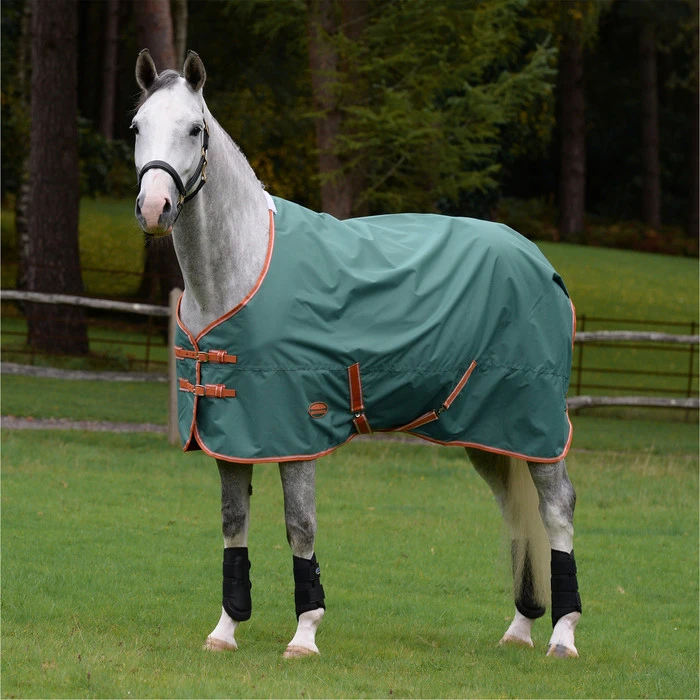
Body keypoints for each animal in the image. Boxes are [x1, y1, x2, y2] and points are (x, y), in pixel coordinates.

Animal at [132, 49, 582, 659]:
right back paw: (519, 630)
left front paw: (304, 635)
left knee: (556, 510)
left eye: (194, 128)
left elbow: (300, 526)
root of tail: (541, 261)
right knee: (517, 510)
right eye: (137, 126)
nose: (155, 207)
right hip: (491, 434)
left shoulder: (295, 430)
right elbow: (233, 523)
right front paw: (225, 630)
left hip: (537, 426)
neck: (239, 270)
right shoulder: (229, 431)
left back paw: (563, 635)